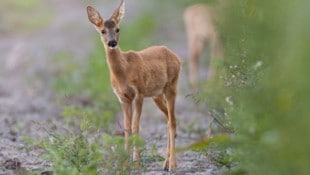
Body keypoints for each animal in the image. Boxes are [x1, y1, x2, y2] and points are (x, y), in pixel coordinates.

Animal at [86, 0, 182, 172]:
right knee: (168, 120)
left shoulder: (139, 93)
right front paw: (124, 165)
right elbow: (126, 128)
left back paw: (172, 165)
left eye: (118, 29)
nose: (112, 42)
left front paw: (136, 163)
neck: (123, 71)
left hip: (172, 85)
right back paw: (166, 163)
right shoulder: (122, 97)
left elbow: (135, 126)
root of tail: (177, 57)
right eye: (102, 30)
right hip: (157, 94)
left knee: (172, 121)